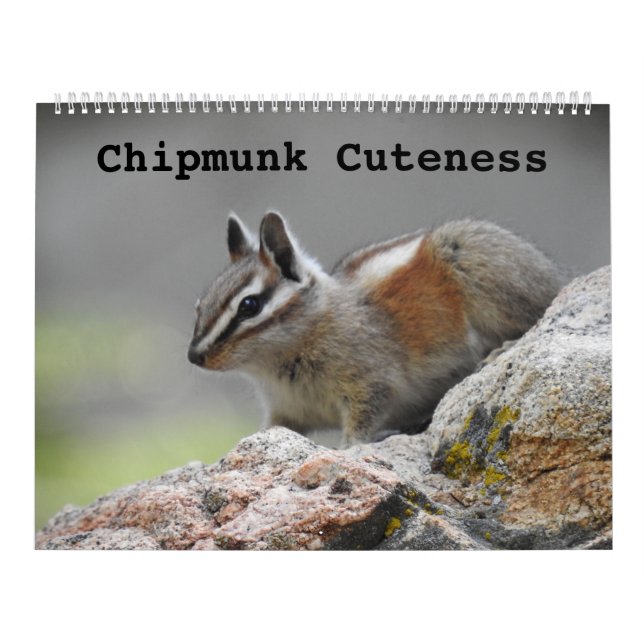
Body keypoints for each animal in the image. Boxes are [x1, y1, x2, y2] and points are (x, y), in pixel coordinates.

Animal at [188, 212, 562, 446]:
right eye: (199, 305)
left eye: (249, 306)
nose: (194, 357)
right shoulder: (286, 411)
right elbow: (271, 431)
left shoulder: (371, 379)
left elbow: (364, 420)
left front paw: (352, 445)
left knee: (538, 312)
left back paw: (504, 346)